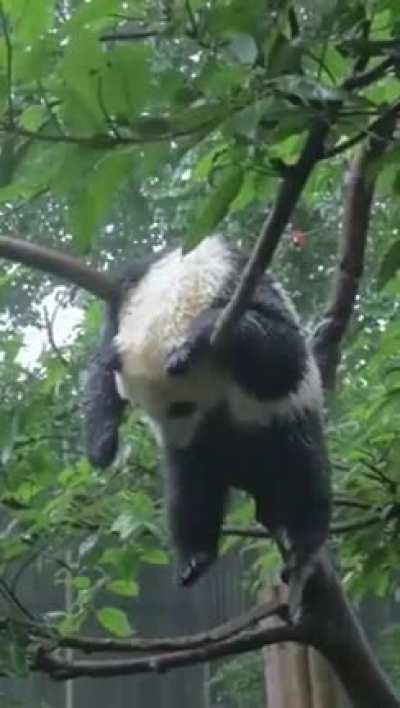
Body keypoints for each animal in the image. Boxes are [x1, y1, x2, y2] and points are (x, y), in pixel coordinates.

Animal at [85, 235, 331, 590]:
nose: (177, 439)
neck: (181, 285)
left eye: (181, 407)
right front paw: (101, 445)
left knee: (302, 472)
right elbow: (100, 366)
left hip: (283, 424)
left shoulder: (244, 284)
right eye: (141, 407)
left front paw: (201, 333)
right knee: (190, 493)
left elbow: (284, 354)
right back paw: (194, 558)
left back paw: (302, 545)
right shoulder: (129, 290)